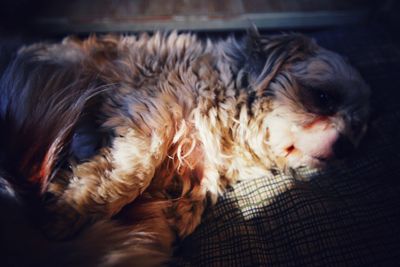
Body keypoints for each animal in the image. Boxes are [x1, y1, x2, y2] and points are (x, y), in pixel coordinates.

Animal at [0, 30, 368, 266]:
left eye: (358, 131)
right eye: (323, 97)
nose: (346, 146)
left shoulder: (199, 167)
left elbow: (186, 201)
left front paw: (168, 221)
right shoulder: (149, 113)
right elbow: (133, 172)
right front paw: (71, 212)